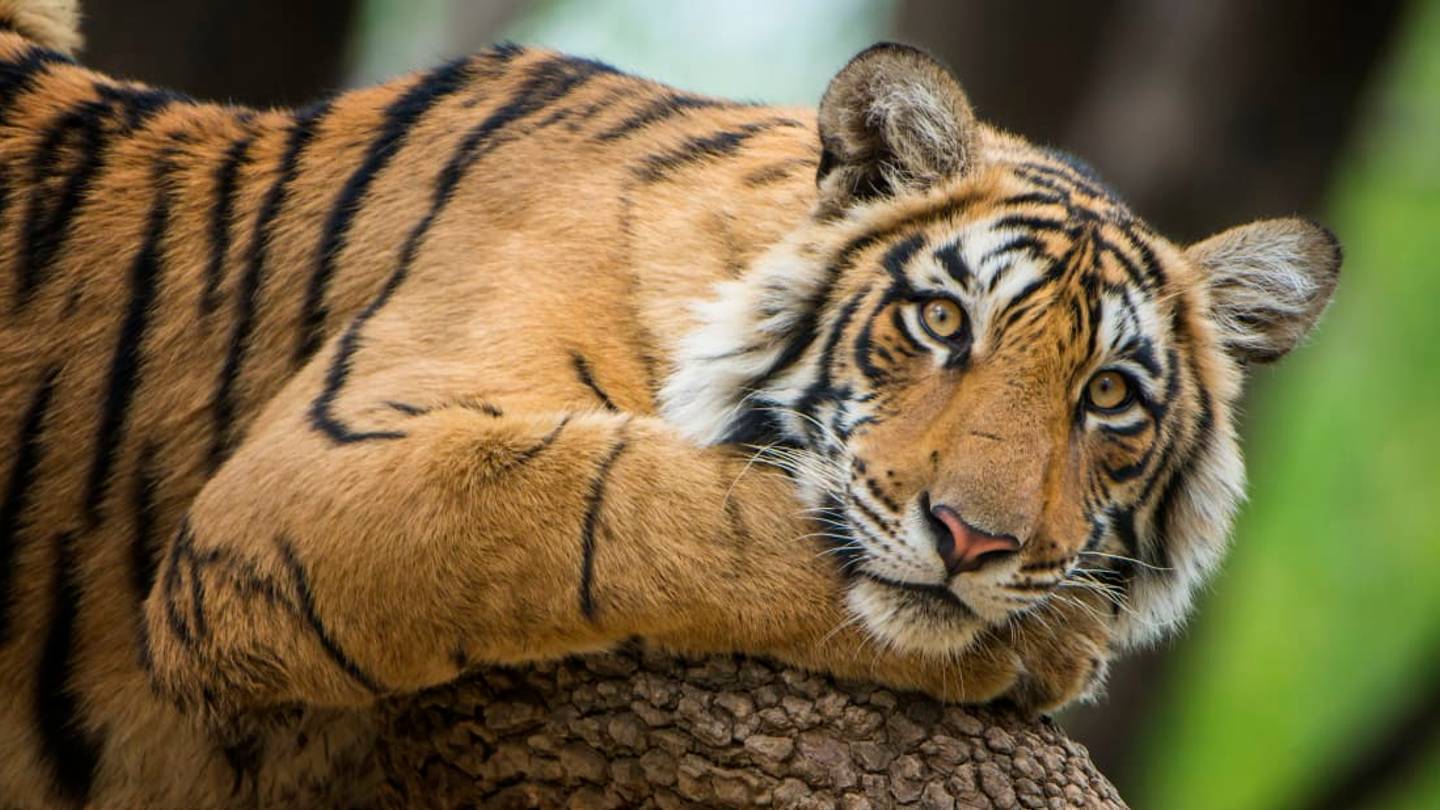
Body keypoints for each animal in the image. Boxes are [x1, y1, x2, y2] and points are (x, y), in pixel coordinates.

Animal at [0, 0, 1340, 806]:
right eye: (941, 323)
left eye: (1108, 397)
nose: (976, 541)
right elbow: (637, 507)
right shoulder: (316, 479)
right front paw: (1044, 639)